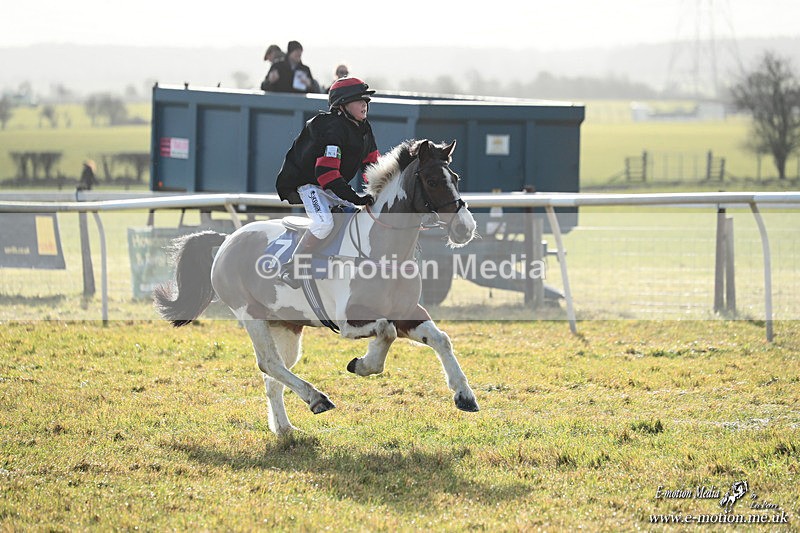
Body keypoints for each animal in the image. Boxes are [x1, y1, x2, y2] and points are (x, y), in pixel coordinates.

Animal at [154, 139, 480, 435]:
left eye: (456, 179)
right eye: (433, 180)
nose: (465, 228)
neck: (382, 251)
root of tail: (226, 240)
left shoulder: (408, 312)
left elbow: (441, 339)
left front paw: (464, 395)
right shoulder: (349, 321)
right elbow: (385, 331)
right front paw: (363, 364)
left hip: (286, 325)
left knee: (275, 375)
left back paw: (285, 429)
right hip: (250, 315)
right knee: (269, 363)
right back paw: (316, 398)